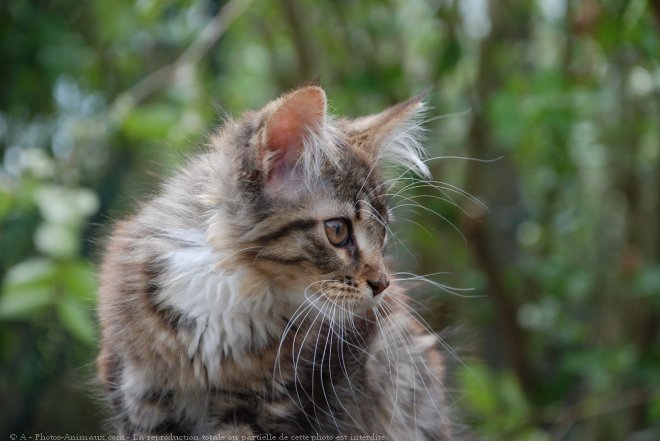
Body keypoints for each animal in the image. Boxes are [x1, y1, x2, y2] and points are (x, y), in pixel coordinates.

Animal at [98, 84, 456, 438]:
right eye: (337, 231)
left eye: (382, 234)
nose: (382, 285)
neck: (231, 287)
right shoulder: (139, 399)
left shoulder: (271, 408)